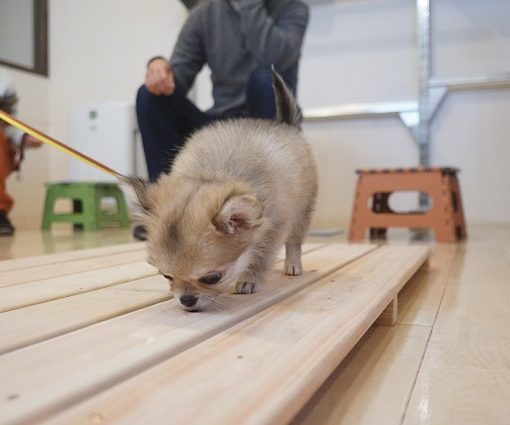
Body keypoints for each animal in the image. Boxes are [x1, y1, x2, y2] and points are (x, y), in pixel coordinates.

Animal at [123, 68, 314, 308]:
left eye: (212, 278)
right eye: (167, 275)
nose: (186, 300)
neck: (212, 175)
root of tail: (284, 124)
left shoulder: (275, 227)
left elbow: (260, 257)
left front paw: (249, 278)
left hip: (302, 211)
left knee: (295, 241)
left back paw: (293, 264)